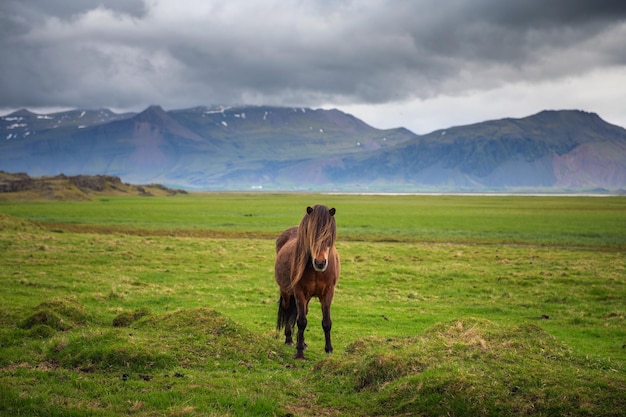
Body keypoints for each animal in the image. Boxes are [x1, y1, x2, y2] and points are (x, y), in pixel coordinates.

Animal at [274, 205, 338, 358]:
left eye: (329, 236)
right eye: (311, 235)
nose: (320, 263)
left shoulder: (328, 293)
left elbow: (327, 322)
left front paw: (329, 349)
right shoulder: (299, 292)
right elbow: (302, 321)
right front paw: (299, 353)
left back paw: (302, 342)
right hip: (287, 292)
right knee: (288, 310)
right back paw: (290, 339)